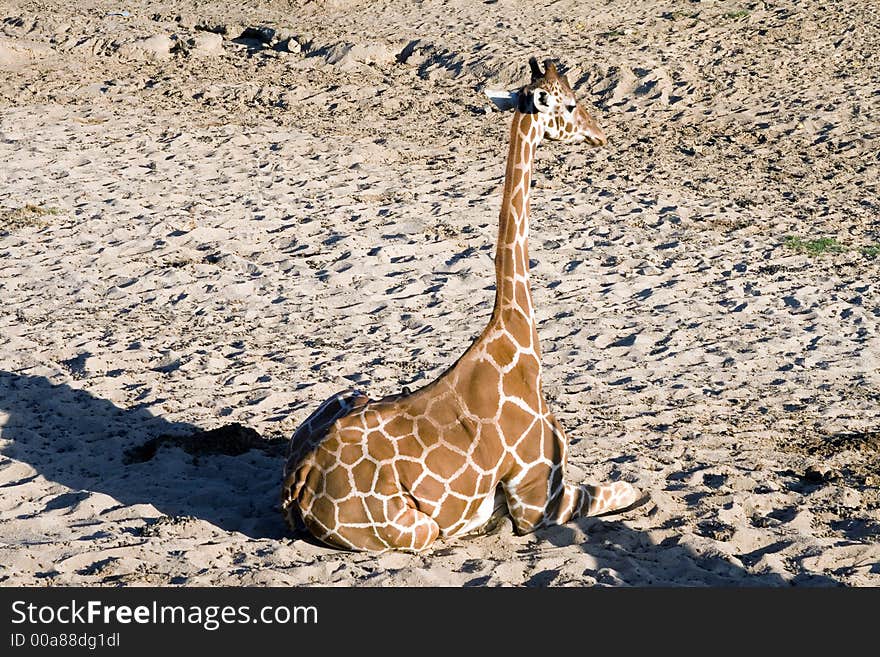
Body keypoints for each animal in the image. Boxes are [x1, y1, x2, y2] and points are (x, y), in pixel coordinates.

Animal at [280, 56, 640, 552]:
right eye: (569, 104)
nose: (599, 133)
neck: (518, 340)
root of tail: (300, 479)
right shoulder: (538, 501)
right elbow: (627, 489)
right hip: (418, 528)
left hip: (349, 393)